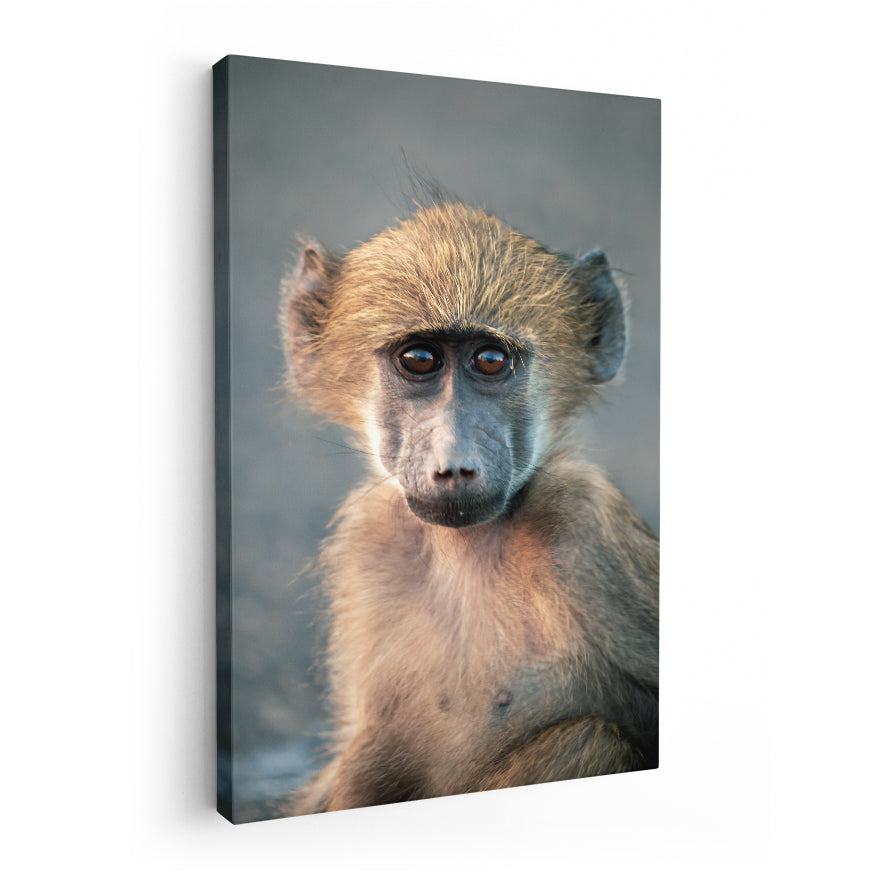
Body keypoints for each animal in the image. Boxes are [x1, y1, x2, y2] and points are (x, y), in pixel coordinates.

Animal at [279, 200, 658, 815]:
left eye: (490, 360)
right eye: (419, 360)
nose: (454, 465)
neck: (464, 549)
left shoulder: (587, 527)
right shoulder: (368, 539)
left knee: (586, 737)